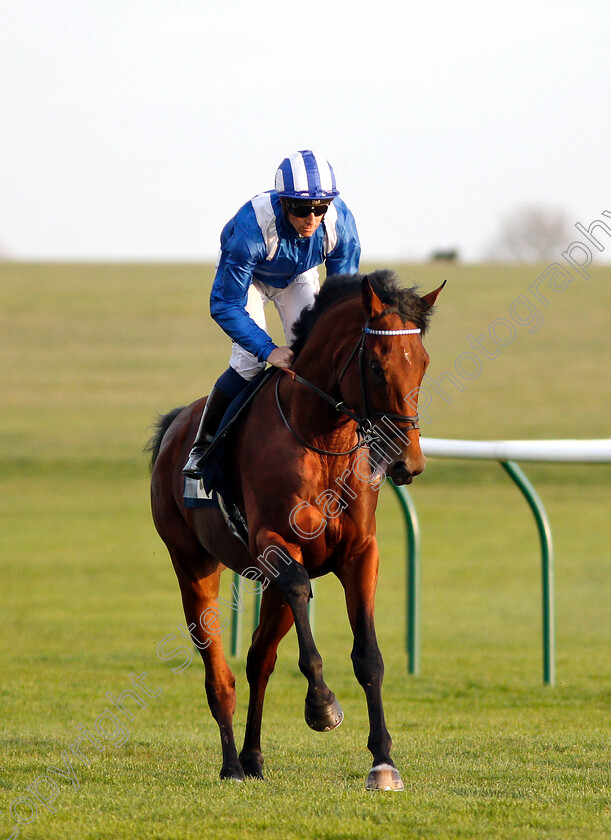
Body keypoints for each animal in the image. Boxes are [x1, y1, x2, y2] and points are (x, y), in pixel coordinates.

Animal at [148, 270, 444, 788]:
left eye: (422, 364)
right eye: (377, 367)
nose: (407, 462)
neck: (323, 435)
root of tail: (174, 427)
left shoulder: (360, 553)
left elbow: (368, 656)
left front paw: (383, 761)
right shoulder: (276, 545)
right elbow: (303, 605)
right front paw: (322, 706)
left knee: (258, 660)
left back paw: (252, 757)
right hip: (192, 563)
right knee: (219, 672)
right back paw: (231, 764)